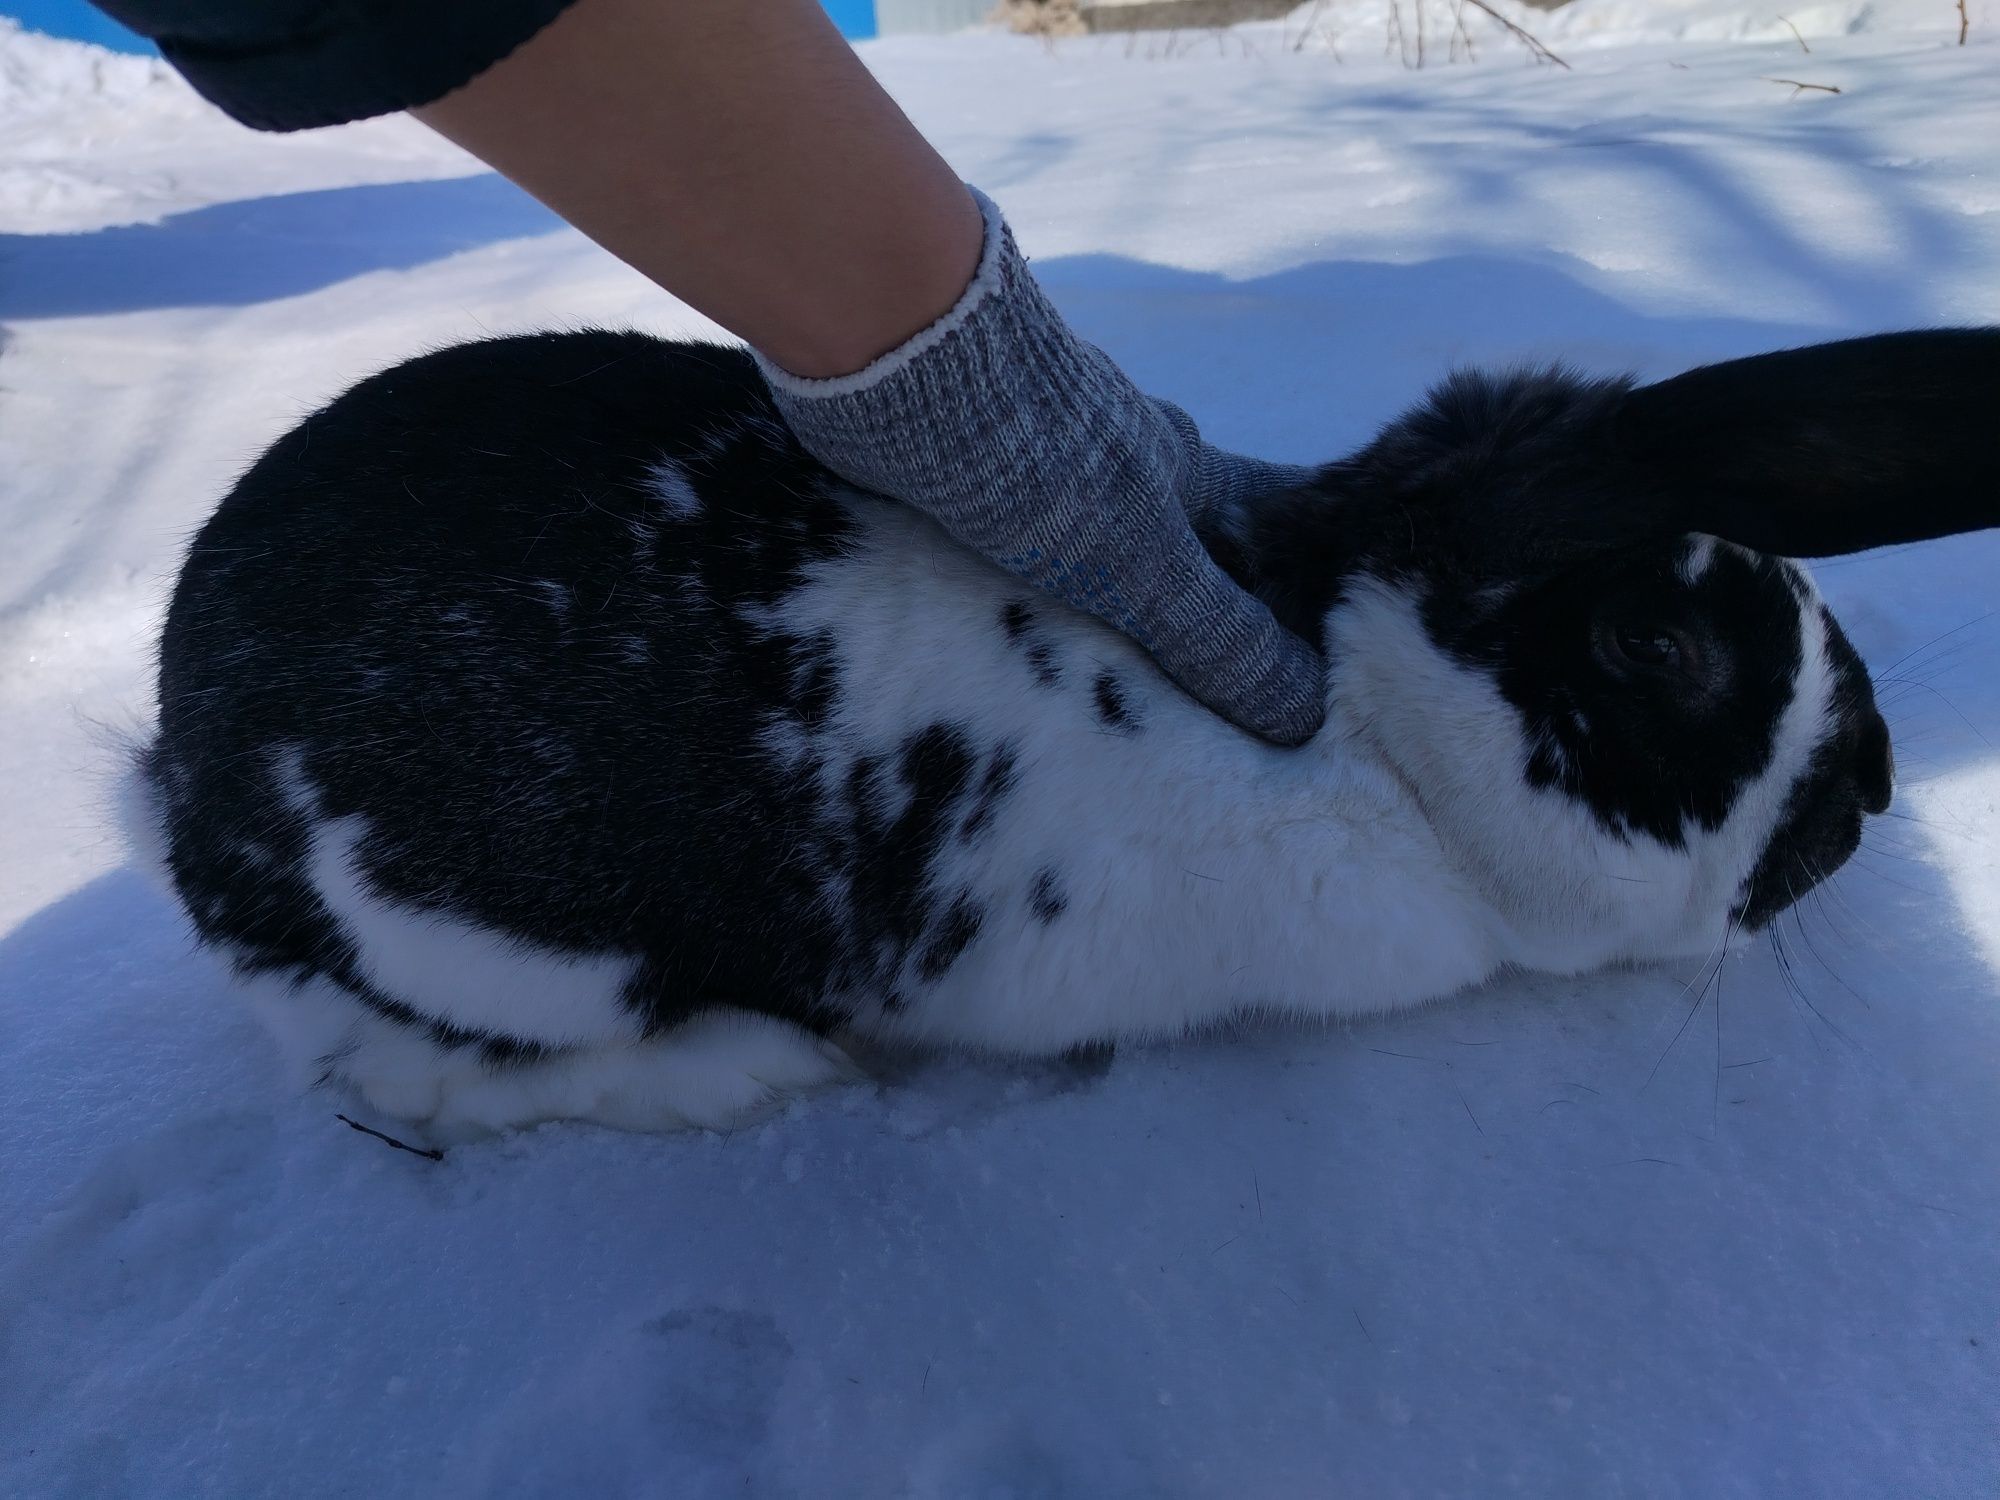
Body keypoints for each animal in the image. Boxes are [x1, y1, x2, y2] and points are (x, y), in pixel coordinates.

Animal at [121, 326, 2000, 1128]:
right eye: (1655, 642)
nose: (1875, 785)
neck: (1384, 726)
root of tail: (187, 778)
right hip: (517, 954)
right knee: (387, 1068)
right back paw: (759, 1073)